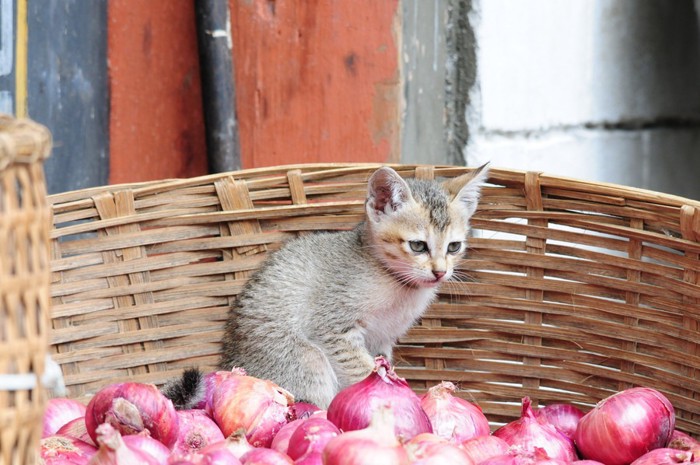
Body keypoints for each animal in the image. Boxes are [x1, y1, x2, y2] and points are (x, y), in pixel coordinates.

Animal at [166, 165, 490, 408]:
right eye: (418, 245)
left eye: (454, 246)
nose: (440, 272)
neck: (394, 282)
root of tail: (226, 361)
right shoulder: (333, 329)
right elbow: (364, 372)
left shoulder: (382, 341)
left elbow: (382, 364)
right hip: (309, 359)